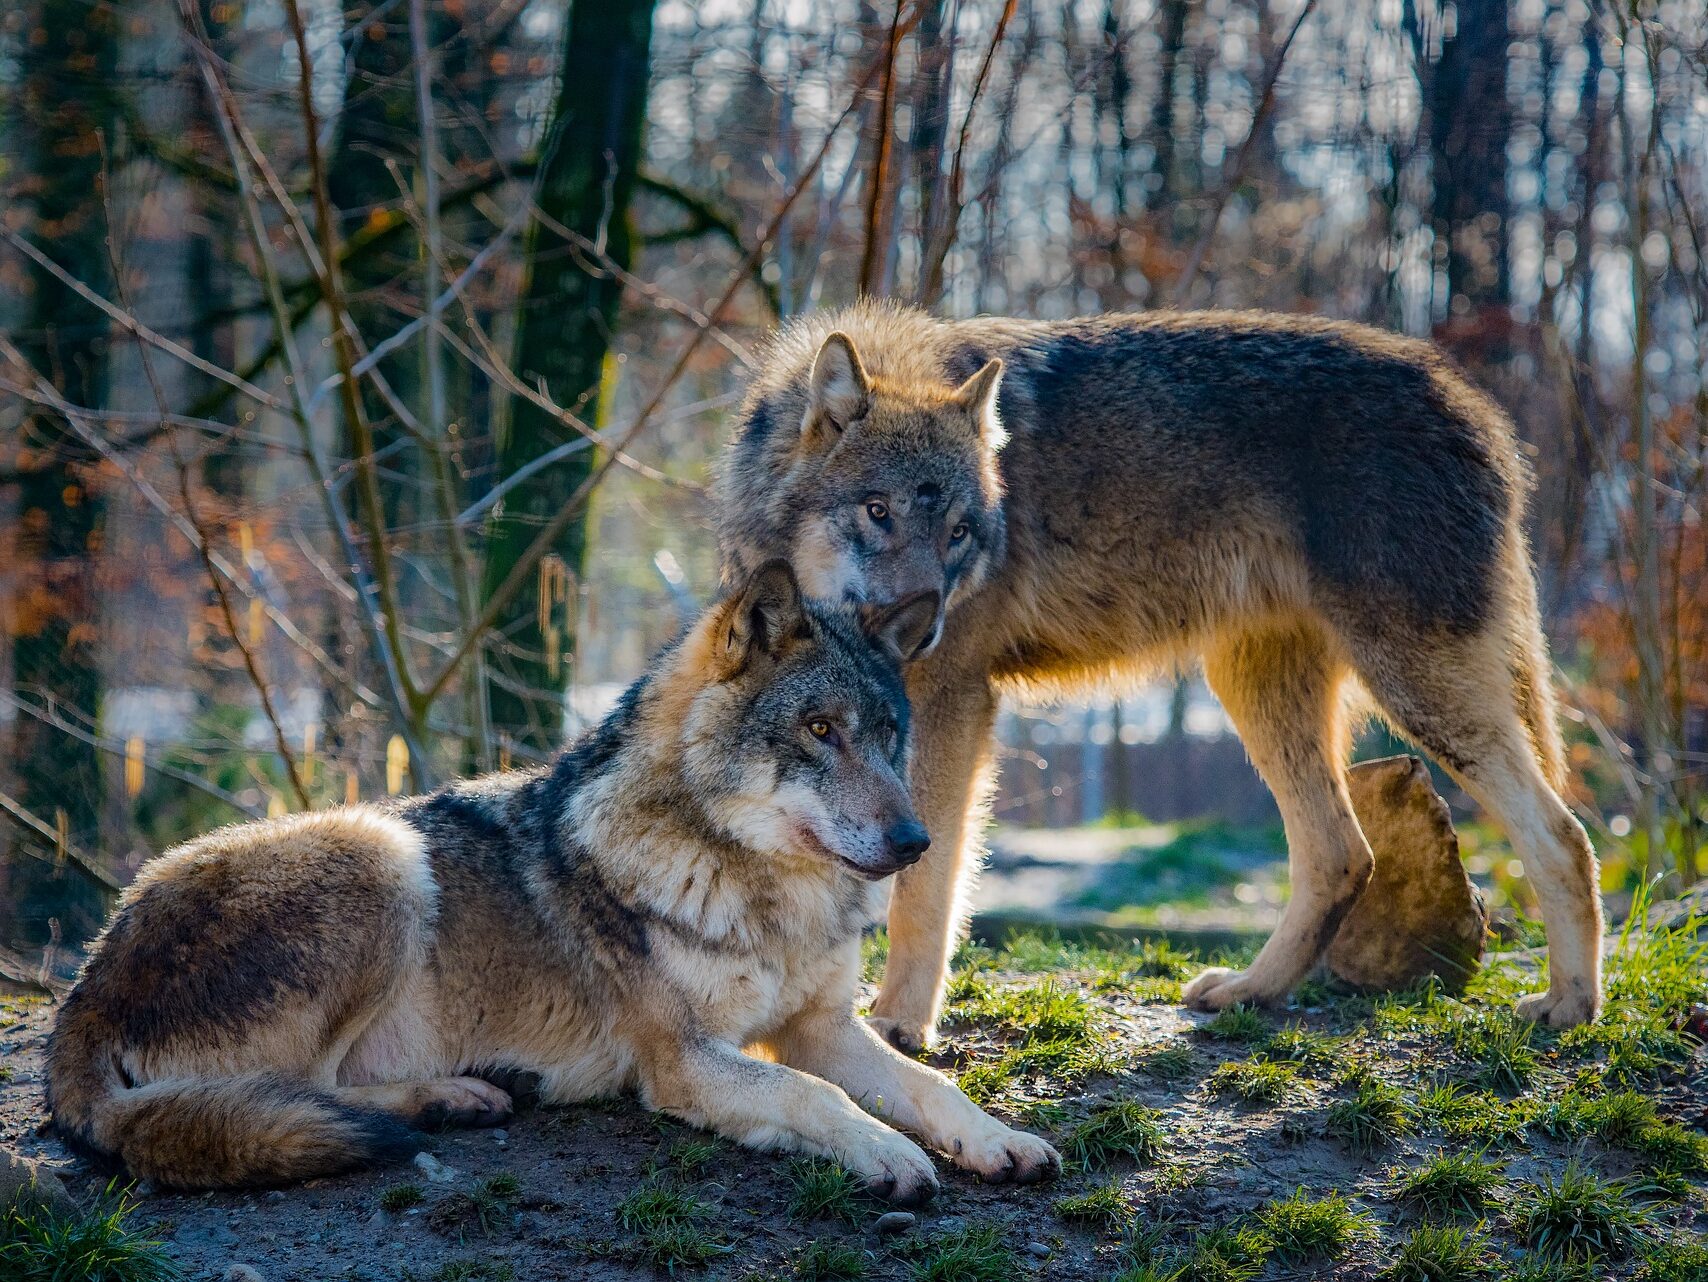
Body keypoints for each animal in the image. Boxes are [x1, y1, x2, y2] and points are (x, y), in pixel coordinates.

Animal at [46, 566, 1058, 1201]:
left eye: (888, 735)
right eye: (818, 731)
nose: (917, 841)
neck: (764, 895)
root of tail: (85, 988)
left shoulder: (820, 1026)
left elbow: (928, 1085)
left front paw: (996, 1139)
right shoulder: (683, 1060)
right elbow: (818, 1099)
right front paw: (887, 1153)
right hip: (381, 851)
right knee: (302, 1092)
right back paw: (454, 1097)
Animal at [720, 303, 1598, 1051]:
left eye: (960, 533)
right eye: (879, 512)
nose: (923, 626)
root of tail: (1477, 406)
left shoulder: (951, 702)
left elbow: (924, 882)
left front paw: (901, 1025)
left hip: (1415, 690)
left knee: (1562, 835)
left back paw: (1570, 1006)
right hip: (1257, 692)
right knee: (1343, 854)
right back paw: (1249, 992)